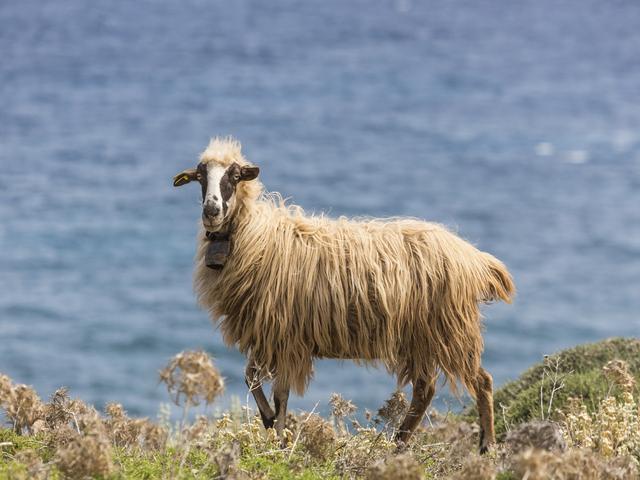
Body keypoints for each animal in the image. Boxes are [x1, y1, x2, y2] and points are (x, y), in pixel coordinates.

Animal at [173, 137, 515, 452]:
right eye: (200, 176)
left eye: (234, 176)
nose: (211, 210)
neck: (255, 237)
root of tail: (473, 259)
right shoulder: (268, 334)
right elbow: (251, 378)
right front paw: (270, 423)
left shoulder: (285, 337)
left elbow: (279, 393)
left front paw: (281, 442)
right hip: (422, 336)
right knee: (424, 390)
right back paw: (398, 445)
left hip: (451, 330)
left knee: (481, 382)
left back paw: (486, 447)